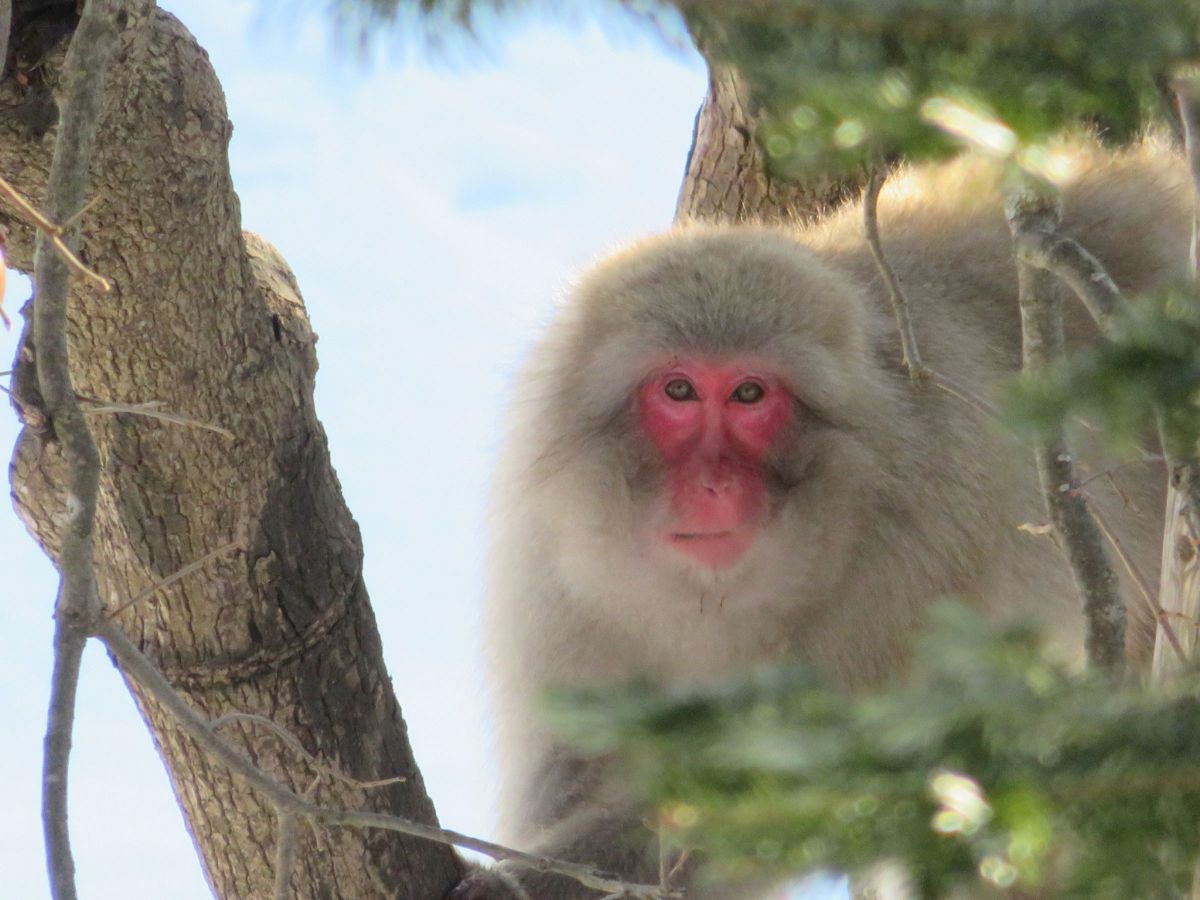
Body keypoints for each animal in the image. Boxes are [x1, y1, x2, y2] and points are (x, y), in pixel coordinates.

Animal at [450, 141, 1190, 899]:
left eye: (750, 395)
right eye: (679, 390)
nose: (714, 483)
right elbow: (570, 767)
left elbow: (779, 795)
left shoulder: (905, 575)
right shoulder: (556, 576)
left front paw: (522, 882)